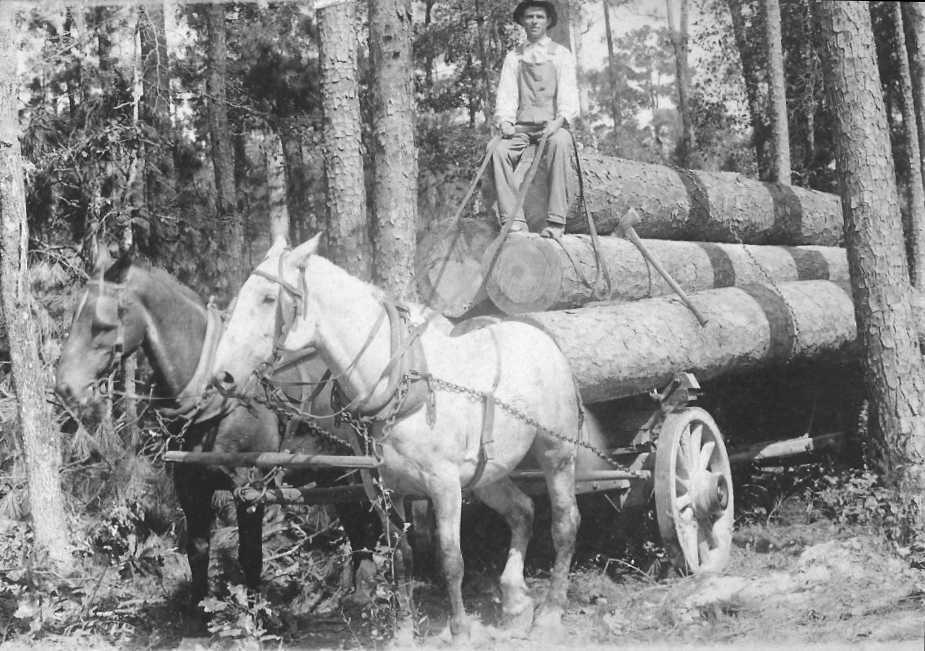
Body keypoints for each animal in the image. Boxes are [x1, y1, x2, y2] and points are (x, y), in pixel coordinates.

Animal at [53, 253, 378, 608]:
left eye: (103, 324)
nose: (65, 386)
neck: (213, 398)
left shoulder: (250, 489)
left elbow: (251, 557)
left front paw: (254, 614)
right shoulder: (189, 485)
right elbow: (197, 552)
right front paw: (199, 609)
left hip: (351, 471)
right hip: (334, 473)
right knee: (357, 526)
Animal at [213, 233, 580, 636]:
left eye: (267, 298)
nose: (222, 376)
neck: (395, 383)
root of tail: (539, 335)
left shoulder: (444, 485)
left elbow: (450, 559)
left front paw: (460, 631)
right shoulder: (384, 490)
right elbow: (401, 558)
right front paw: (403, 631)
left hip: (557, 453)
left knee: (565, 523)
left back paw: (550, 612)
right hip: (488, 474)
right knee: (522, 511)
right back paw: (515, 601)